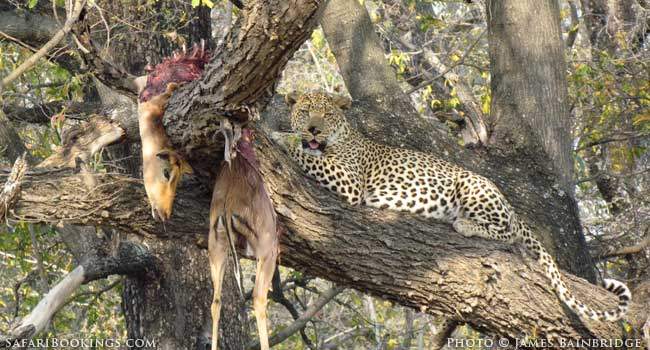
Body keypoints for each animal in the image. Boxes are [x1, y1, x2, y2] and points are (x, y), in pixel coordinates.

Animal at [270, 91, 632, 322]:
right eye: (305, 111)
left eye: (327, 114)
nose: (313, 128)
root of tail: (511, 205)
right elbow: (308, 151)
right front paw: (286, 133)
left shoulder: (348, 181)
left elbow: (306, 154)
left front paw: (276, 135)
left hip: (472, 188)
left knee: (509, 233)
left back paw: (464, 224)